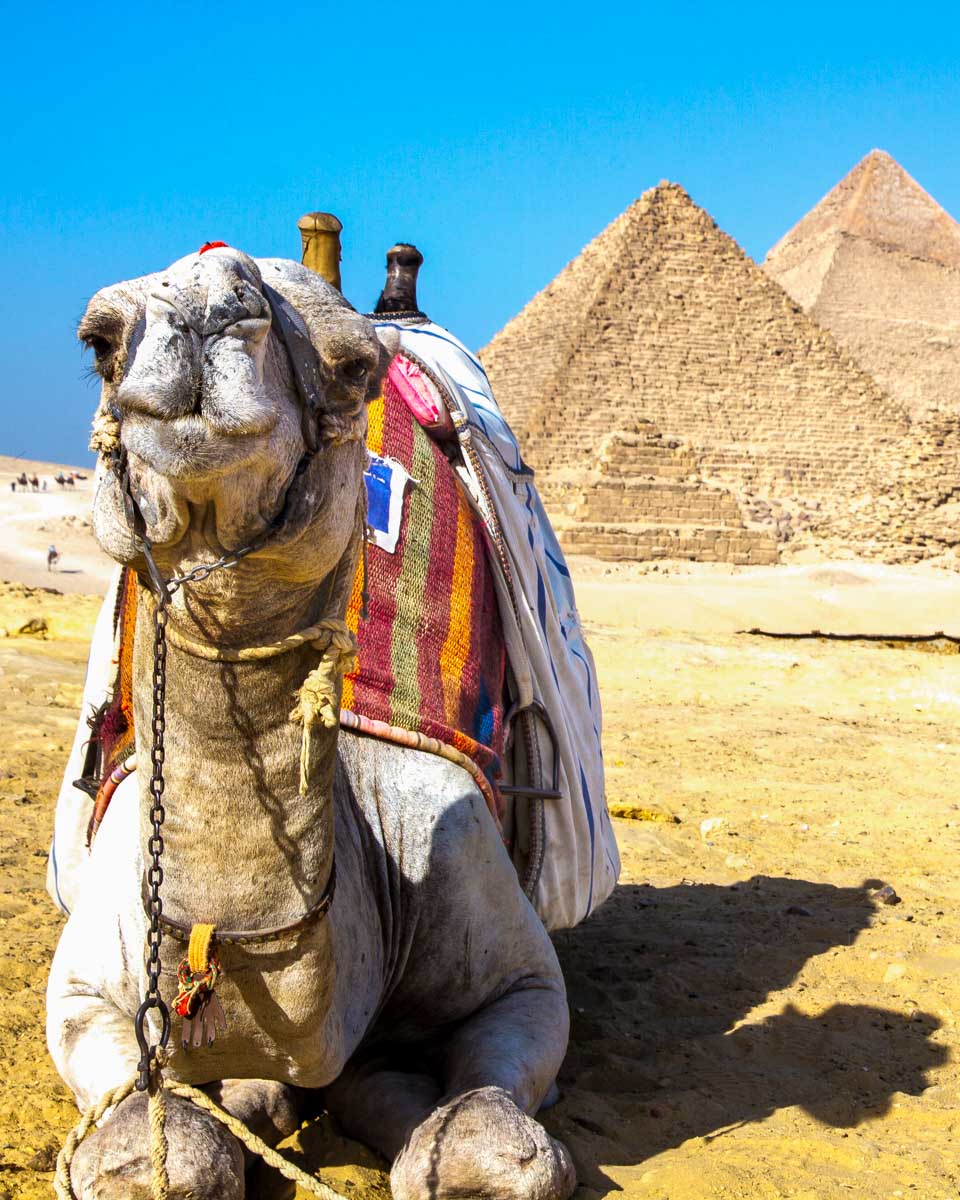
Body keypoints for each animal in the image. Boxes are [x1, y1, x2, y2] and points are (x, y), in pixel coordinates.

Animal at [47, 246, 576, 1200]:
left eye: (352, 364)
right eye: (100, 340)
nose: (205, 306)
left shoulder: (517, 971)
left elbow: (485, 1146)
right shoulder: (83, 993)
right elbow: (161, 1156)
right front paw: (241, 1108)